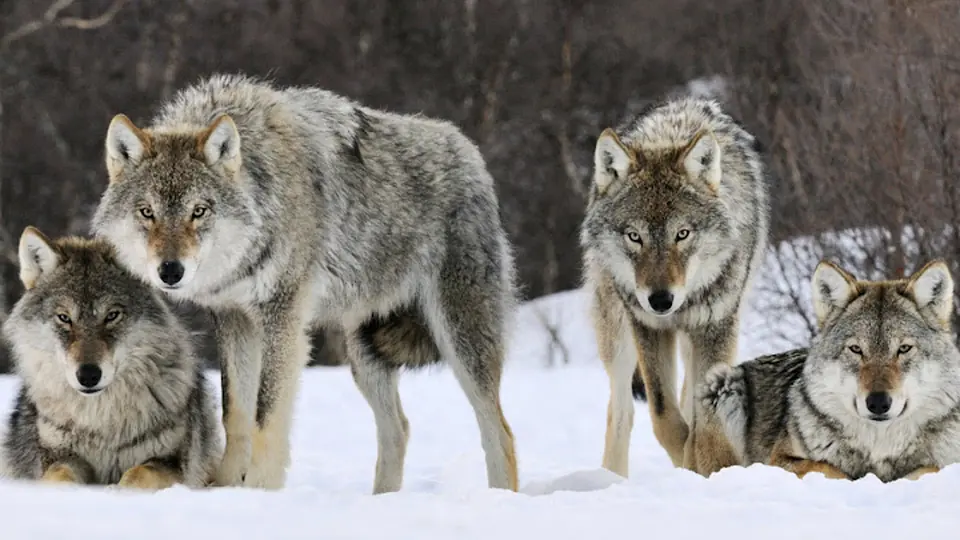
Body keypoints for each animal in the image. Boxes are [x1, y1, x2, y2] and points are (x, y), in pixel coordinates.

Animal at [0, 227, 221, 489]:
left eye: (112, 315)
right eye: (64, 318)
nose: (88, 375)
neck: (100, 422)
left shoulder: (171, 463)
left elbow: (137, 475)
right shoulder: (59, 456)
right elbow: (59, 476)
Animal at [91, 74, 519, 492]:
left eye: (199, 211)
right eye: (147, 212)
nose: (170, 271)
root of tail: (469, 151)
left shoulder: (283, 317)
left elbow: (266, 415)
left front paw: (259, 491)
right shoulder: (234, 319)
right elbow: (236, 413)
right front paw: (226, 487)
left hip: (460, 339)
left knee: (500, 431)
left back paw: (500, 496)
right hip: (364, 353)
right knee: (399, 429)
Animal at [580, 98, 769, 477]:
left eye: (682, 234)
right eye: (634, 236)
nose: (660, 300)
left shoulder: (716, 326)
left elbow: (703, 419)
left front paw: (705, 465)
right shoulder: (648, 327)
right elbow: (664, 416)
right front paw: (687, 460)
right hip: (617, 335)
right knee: (621, 411)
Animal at [700, 260, 960, 482]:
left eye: (904, 349)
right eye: (856, 349)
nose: (877, 403)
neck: (878, 447)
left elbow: (931, 468)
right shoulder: (779, 460)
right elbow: (829, 468)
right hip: (722, 384)